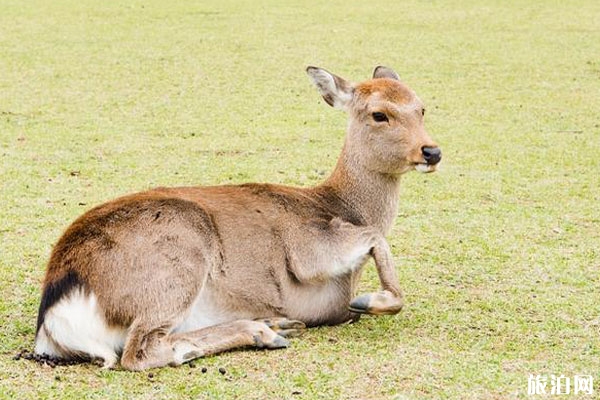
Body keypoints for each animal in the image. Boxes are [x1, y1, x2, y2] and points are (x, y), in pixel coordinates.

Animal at [35, 65, 442, 368]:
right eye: (379, 114)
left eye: (422, 107)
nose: (432, 151)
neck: (339, 205)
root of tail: (54, 316)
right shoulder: (306, 250)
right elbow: (375, 238)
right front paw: (370, 300)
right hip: (180, 256)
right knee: (140, 351)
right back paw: (263, 331)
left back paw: (275, 323)